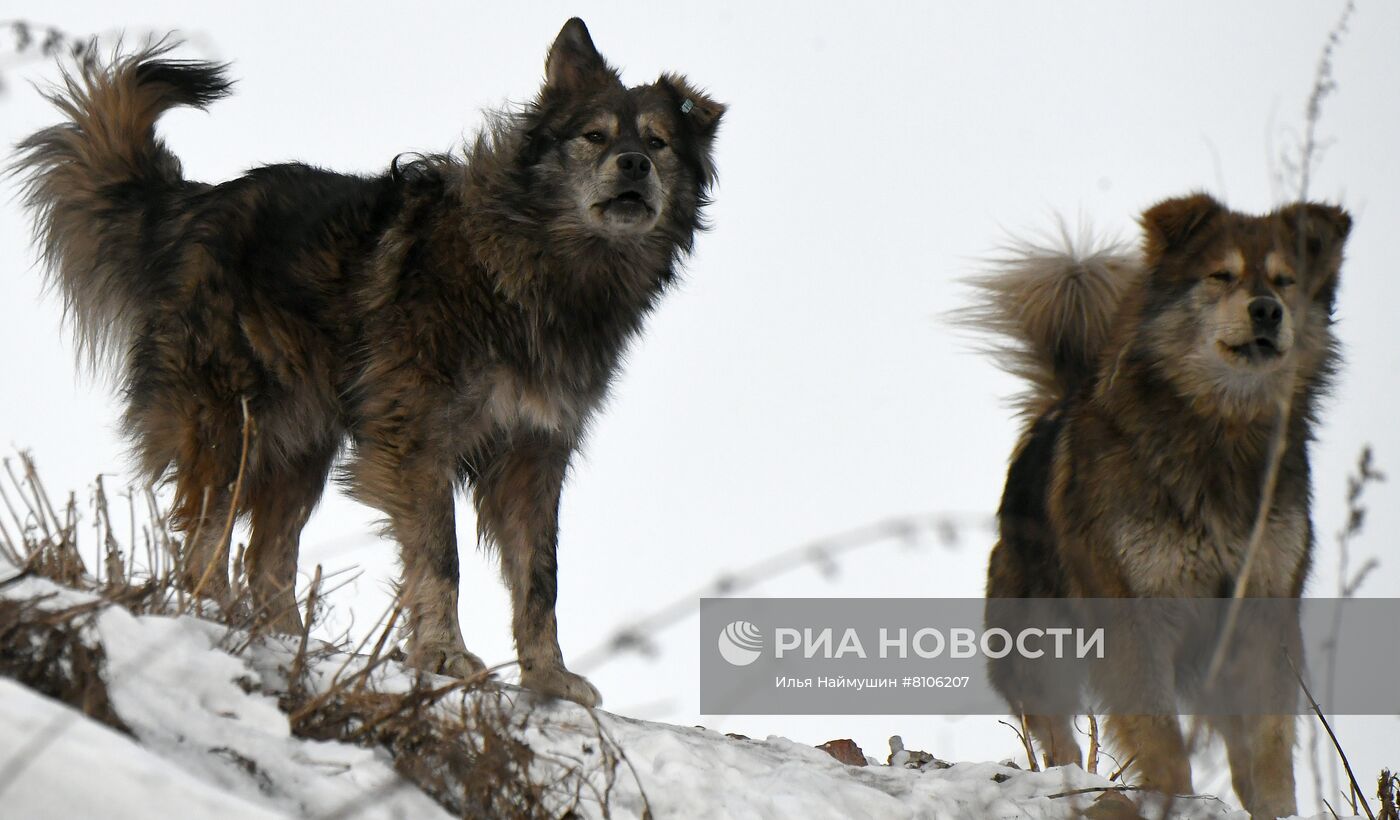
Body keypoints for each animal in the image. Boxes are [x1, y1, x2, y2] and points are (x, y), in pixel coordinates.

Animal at [13, 19, 722, 705]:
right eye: (594, 136)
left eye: (658, 143)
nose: (633, 164)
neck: (538, 267)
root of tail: (199, 202)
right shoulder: (417, 442)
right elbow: (440, 559)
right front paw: (444, 656)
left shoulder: (533, 455)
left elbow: (539, 580)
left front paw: (549, 678)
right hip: (230, 421)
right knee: (209, 534)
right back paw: (218, 608)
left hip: (303, 443)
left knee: (268, 560)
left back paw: (288, 639)